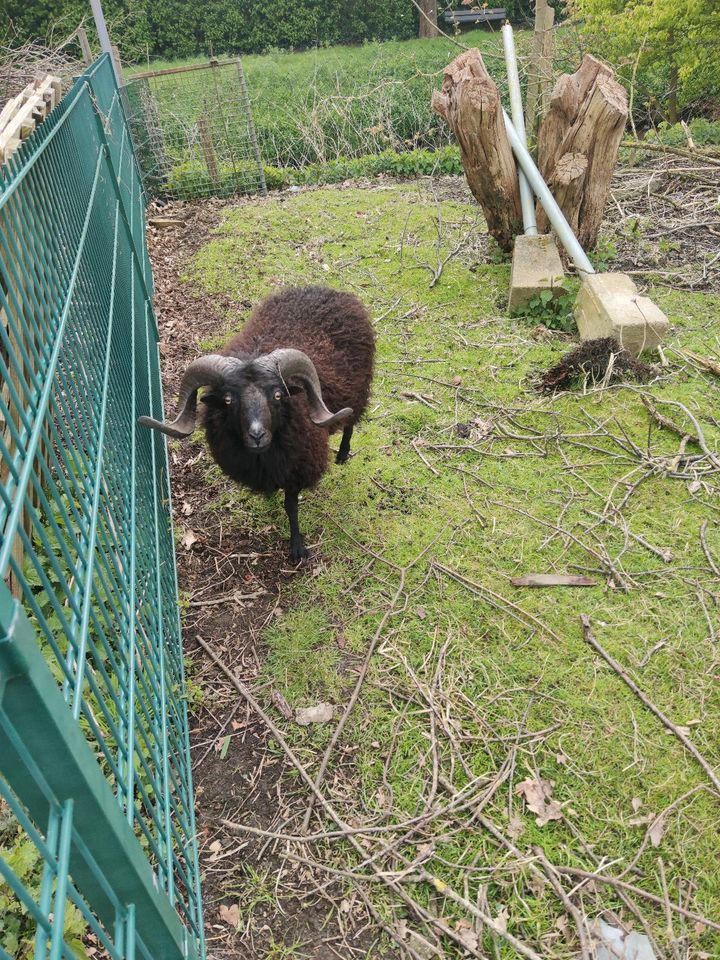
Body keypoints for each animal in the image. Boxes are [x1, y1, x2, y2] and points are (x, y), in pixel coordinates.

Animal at [141, 284, 376, 560]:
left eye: (278, 395)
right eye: (228, 400)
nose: (257, 435)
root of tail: (326, 290)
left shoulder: (296, 469)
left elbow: (291, 507)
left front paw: (297, 547)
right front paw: (269, 497)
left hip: (357, 389)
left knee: (350, 420)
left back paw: (342, 454)